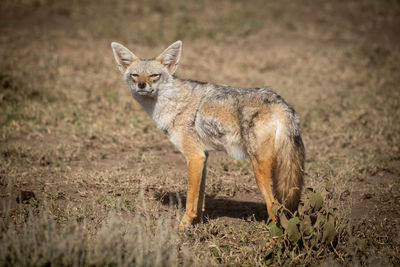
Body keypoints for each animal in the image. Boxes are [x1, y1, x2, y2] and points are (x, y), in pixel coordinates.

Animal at [111, 39, 304, 230]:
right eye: (135, 75)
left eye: (154, 75)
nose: (141, 85)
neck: (171, 103)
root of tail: (282, 104)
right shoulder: (203, 156)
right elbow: (200, 199)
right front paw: (197, 223)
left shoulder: (194, 157)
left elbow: (190, 200)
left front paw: (182, 227)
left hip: (259, 169)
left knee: (273, 207)